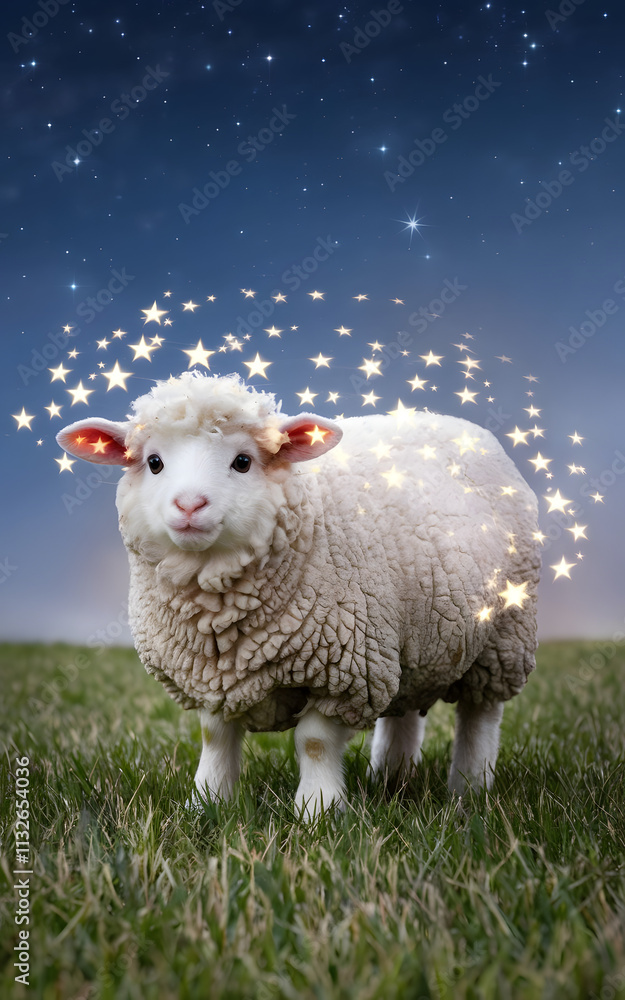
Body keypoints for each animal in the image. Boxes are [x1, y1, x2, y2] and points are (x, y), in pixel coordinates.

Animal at [57, 371, 541, 818]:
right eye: (154, 462)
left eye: (243, 462)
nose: (190, 505)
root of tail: (456, 423)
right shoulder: (211, 674)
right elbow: (215, 737)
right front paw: (207, 803)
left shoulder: (345, 669)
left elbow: (314, 742)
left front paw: (319, 811)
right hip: (408, 638)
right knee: (402, 707)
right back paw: (391, 779)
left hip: (502, 637)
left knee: (480, 715)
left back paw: (469, 790)